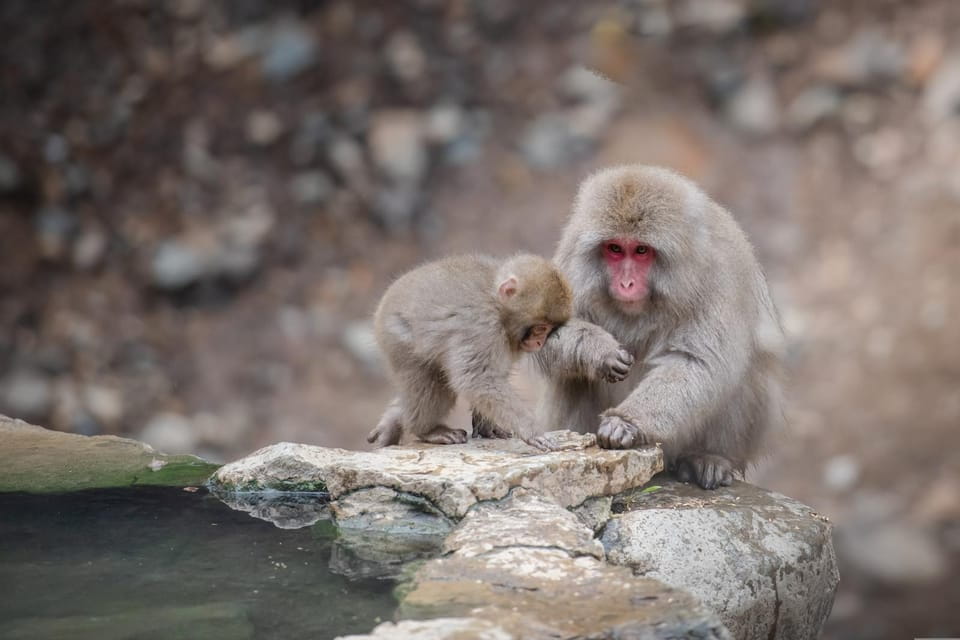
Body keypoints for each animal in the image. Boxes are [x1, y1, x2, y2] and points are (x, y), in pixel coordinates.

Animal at [366, 254, 575, 449]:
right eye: (540, 328)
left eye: (549, 330)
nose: (539, 342)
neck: (497, 305)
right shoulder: (481, 325)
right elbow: (477, 379)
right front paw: (531, 431)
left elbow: (491, 379)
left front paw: (486, 426)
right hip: (398, 338)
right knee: (432, 385)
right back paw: (427, 430)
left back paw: (394, 418)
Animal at [533, 165, 785, 489]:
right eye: (615, 249)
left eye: (641, 250)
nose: (626, 283)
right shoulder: (571, 259)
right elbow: (540, 334)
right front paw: (599, 351)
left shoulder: (717, 277)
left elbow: (698, 362)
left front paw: (625, 423)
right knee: (571, 376)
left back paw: (708, 457)